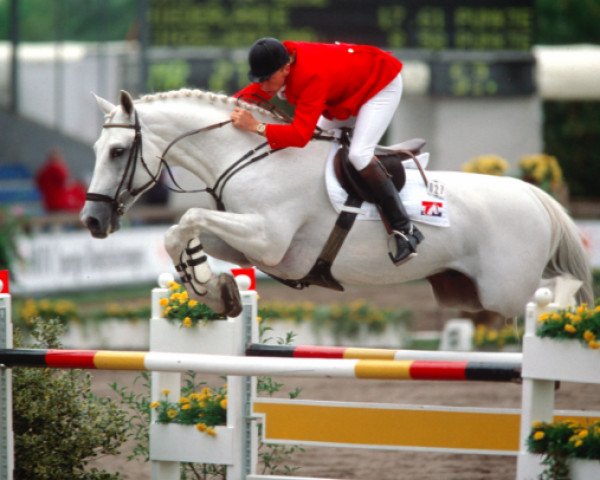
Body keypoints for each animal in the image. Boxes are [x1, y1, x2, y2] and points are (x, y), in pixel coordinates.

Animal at [81, 89, 596, 318]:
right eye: (96, 150)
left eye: (118, 152)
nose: (91, 221)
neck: (250, 156)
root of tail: (534, 195)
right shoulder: (250, 243)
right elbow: (183, 232)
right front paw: (213, 286)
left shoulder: (269, 240)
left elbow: (185, 218)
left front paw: (208, 284)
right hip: (470, 295)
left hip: (507, 290)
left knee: (559, 293)